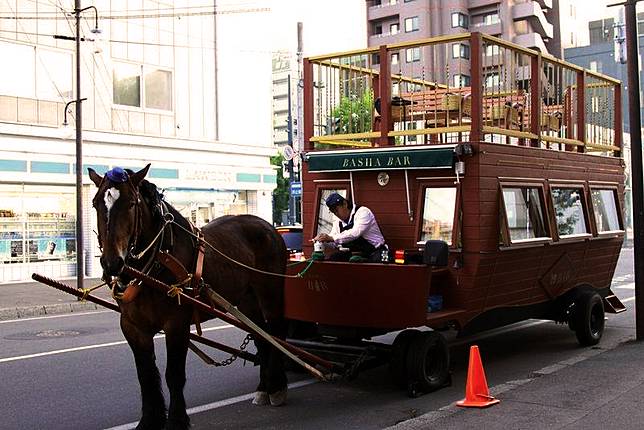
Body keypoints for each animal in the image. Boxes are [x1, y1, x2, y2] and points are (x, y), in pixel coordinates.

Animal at [87, 165, 286, 430]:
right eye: (96, 203)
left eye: (131, 204)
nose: (111, 263)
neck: (154, 265)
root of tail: (268, 225)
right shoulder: (132, 325)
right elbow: (146, 375)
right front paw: (150, 419)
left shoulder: (176, 324)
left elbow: (174, 375)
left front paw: (177, 420)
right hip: (246, 301)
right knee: (261, 336)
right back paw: (264, 388)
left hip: (270, 293)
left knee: (275, 335)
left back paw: (277, 386)